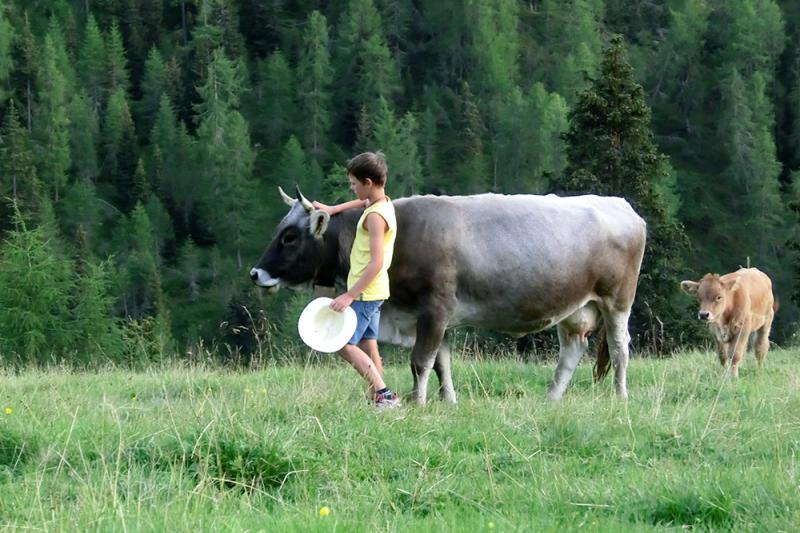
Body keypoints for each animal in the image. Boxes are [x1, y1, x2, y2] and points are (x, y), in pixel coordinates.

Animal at [253, 189, 648, 402]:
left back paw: (621, 395)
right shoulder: (430, 317)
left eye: (289, 236)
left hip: (617, 301)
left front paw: (418, 401)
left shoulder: (435, 308)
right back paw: (551, 398)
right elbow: (441, 362)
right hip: (574, 308)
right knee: (571, 352)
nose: (256, 273)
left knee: (619, 348)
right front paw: (447, 400)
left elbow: (421, 361)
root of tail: (622, 206)